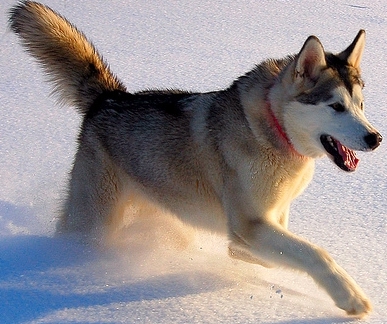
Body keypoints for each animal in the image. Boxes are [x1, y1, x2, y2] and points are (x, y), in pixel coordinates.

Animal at [9, 0, 382, 318]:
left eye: (361, 105)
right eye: (336, 106)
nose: (375, 138)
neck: (275, 132)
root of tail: (109, 97)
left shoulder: (268, 219)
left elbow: (261, 253)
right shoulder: (251, 224)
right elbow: (315, 253)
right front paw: (351, 297)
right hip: (94, 220)